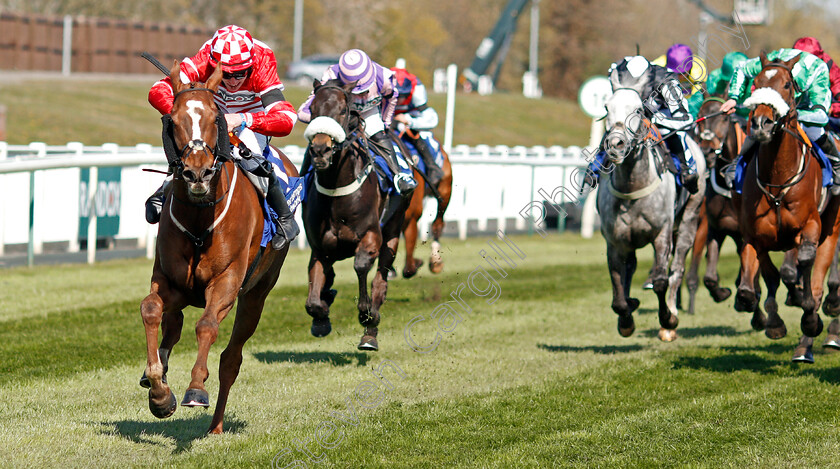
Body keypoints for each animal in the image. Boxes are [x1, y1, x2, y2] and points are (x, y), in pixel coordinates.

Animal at [138, 60, 296, 434]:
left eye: (216, 118)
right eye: (174, 119)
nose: (197, 174)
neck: (199, 219)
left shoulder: (226, 281)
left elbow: (207, 326)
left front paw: (196, 388)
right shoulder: (170, 280)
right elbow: (151, 309)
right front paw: (159, 392)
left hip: (257, 295)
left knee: (231, 358)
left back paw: (216, 425)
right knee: (173, 326)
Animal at [304, 78, 408, 350]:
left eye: (343, 110)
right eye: (312, 109)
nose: (320, 150)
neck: (336, 190)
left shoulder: (371, 236)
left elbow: (361, 266)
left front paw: (366, 314)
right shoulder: (320, 247)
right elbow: (313, 298)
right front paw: (321, 316)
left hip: (394, 229)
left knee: (380, 279)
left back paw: (370, 332)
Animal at [732, 52, 840, 362]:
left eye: (787, 85)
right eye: (756, 84)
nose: (761, 123)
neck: (778, 179)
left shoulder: (810, 226)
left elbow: (801, 265)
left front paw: (809, 316)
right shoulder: (754, 236)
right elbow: (759, 282)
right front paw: (774, 323)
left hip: (832, 230)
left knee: (816, 280)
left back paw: (808, 338)